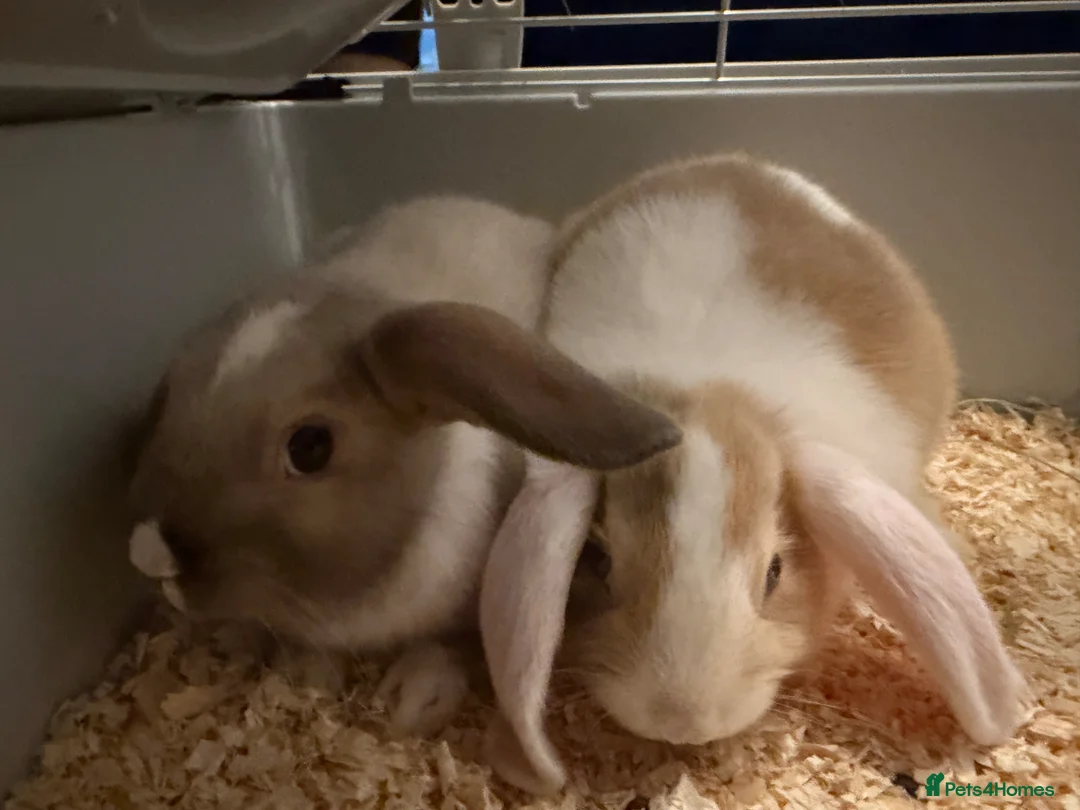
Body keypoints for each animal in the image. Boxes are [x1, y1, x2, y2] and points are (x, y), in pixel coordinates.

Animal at [125, 193, 683, 738]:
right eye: (172, 393)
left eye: (310, 446)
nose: (149, 555)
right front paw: (305, 672)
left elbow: (453, 647)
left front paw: (412, 698)